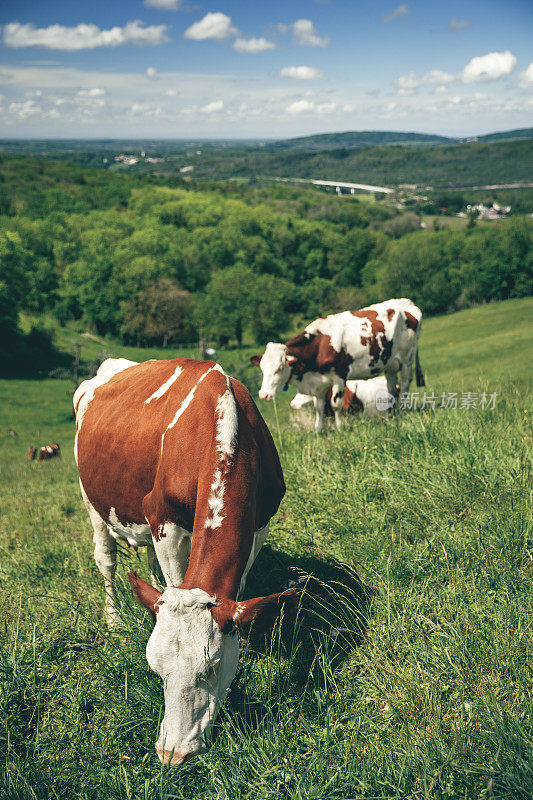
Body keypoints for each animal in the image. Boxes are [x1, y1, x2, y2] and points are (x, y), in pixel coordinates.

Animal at [73, 358, 298, 768]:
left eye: (210, 668)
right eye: (155, 670)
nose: (172, 754)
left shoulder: (259, 525)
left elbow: (236, 591)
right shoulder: (165, 520)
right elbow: (173, 578)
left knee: (148, 563)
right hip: (91, 500)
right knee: (106, 560)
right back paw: (114, 619)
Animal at [250, 296, 424, 432]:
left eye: (280, 368)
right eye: (262, 368)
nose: (263, 395)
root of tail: (406, 302)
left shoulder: (340, 376)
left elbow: (335, 404)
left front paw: (340, 428)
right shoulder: (320, 383)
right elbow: (319, 407)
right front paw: (318, 431)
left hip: (407, 360)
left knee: (405, 386)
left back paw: (401, 412)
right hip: (390, 365)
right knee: (391, 388)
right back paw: (390, 415)